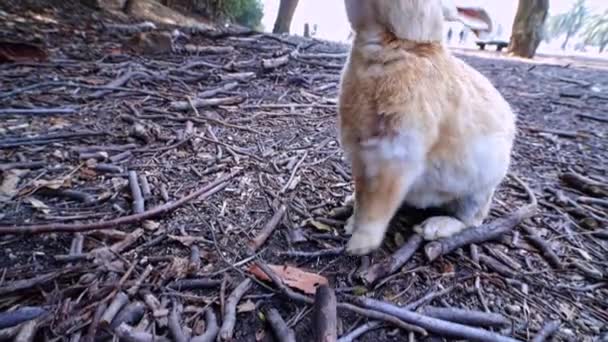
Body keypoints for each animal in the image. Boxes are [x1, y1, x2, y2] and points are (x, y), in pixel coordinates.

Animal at [340, 0, 516, 255]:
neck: (399, 42)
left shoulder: (396, 157)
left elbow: (378, 206)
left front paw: (359, 245)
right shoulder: (360, 154)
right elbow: (363, 194)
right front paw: (351, 223)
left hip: (476, 193)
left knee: (470, 221)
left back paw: (434, 227)